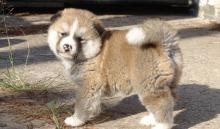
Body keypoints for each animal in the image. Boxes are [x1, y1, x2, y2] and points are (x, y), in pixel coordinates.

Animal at [47, 8, 182, 129]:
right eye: (63, 34)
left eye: (80, 39)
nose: (67, 46)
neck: (95, 50)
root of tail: (162, 45)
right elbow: (93, 103)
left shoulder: (88, 84)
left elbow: (82, 104)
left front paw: (76, 120)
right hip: (167, 83)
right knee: (170, 100)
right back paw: (150, 119)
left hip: (149, 85)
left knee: (162, 103)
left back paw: (161, 125)